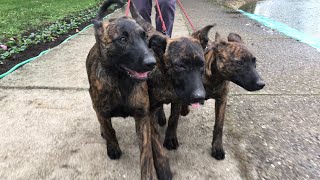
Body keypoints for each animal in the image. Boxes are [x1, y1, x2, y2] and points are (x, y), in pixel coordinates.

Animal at [86, 0, 172, 179]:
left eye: (144, 37)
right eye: (123, 39)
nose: (152, 63)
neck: (121, 81)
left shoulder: (142, 117)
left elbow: (146, 154)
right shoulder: (101, 109)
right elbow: (109, 130)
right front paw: (112, 147)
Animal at [158, 31, 264, 160]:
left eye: (254, 62)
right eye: (239, 62)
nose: (261, 84)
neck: (214, 78)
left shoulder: (222, 100)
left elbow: (219, 126)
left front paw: (217, 147)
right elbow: (177, 114)